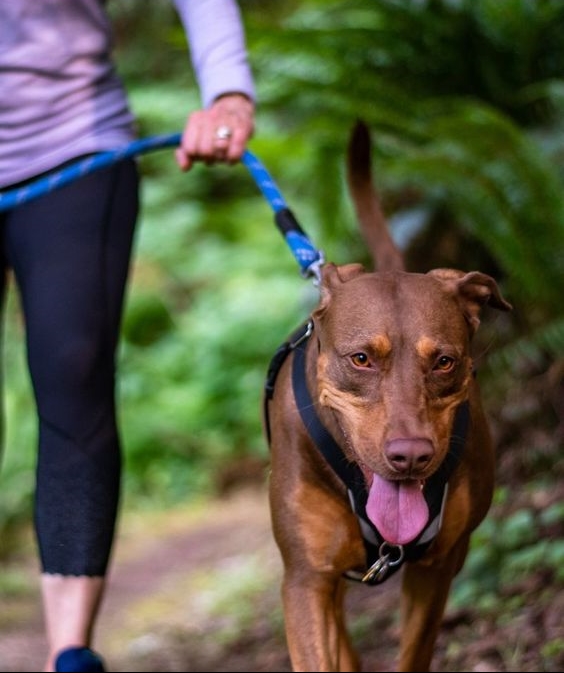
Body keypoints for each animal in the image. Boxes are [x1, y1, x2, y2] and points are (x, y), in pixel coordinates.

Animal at [264, 122, 512, 672]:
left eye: (444, 361)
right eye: (361, 359)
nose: (411, 456)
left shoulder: (438, 566)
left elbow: (414, 651)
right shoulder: (306, 580)